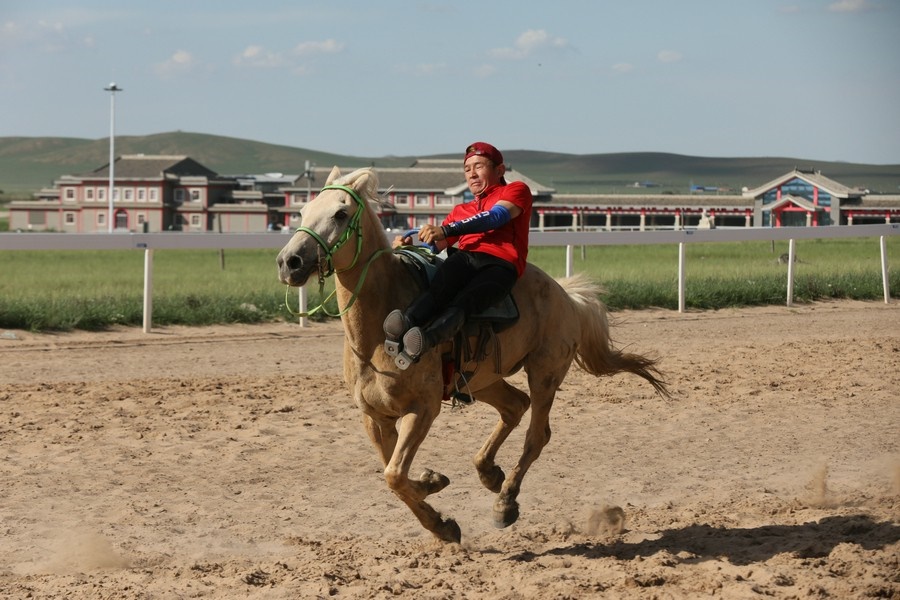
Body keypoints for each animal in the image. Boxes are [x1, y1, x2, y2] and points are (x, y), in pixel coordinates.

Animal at [276, 166, 669, 543]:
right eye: (303, 210)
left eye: (341, 213)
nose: (289, 262)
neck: (378, 334)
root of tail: (567, 296)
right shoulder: (375, 418)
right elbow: (394, 476)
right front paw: (437, 506)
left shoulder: (423, 409)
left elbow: (395, 475)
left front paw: (434, 496)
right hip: (482, 381)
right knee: (515, 407)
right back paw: (489, 473)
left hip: (544, 374)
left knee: (536, 435)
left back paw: (505, 502)